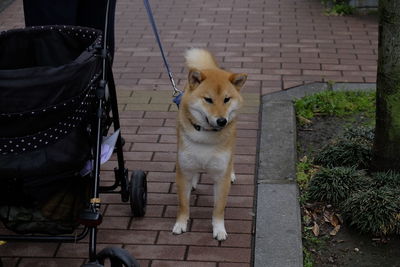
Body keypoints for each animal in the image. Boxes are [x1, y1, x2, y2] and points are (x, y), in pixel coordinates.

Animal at [172, 48, 247, 243]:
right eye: (208, 99)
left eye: (227, 99)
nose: (222, 121)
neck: (206, 136)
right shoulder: (182, 170)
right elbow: (183, 204)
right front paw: (181, 223)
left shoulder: (221, 177)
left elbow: (219, 208)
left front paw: (219, 229)